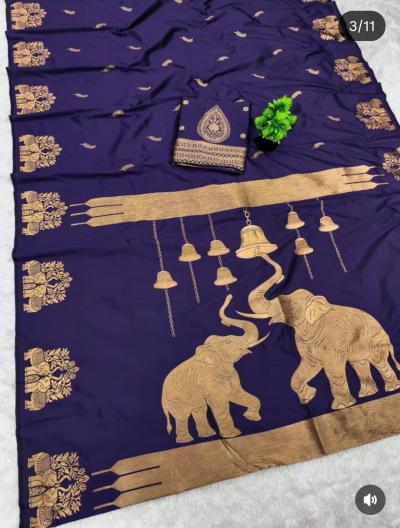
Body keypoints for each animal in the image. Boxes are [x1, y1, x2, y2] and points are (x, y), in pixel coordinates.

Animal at [161, 294, 268, 443]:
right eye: (228, 341)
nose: (230, 296)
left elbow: (238, 394)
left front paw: (251, 417)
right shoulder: (207, 380)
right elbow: (220, 404)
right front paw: (233, 434)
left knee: (199, 409)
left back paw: (207, 435)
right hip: (174, 398)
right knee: (182, 415)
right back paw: (186, 441)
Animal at [238, 254, 400, 410]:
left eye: (285, 303)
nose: (259, 254)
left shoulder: (334, 340)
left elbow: (333, 368)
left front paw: (342, 406)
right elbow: (309, 366)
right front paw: (309, 396)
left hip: (376, 343)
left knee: (379, 362)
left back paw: (392, 388)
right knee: (360, 364)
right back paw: (367, 394)